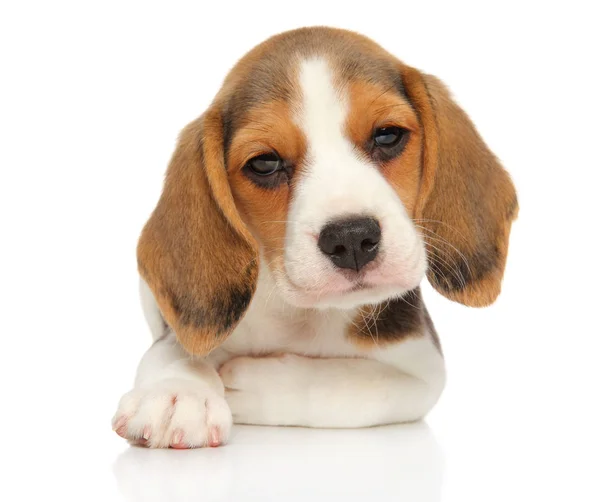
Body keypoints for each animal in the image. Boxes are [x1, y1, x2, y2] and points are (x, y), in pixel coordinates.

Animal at [111, 25, 516, 450]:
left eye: (387, 136)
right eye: (264, 162)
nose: (352, 239)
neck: (304, 315)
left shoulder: (423, 368)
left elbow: (357, 384)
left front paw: (257, 385)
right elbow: (175, 349)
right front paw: (177, 392)